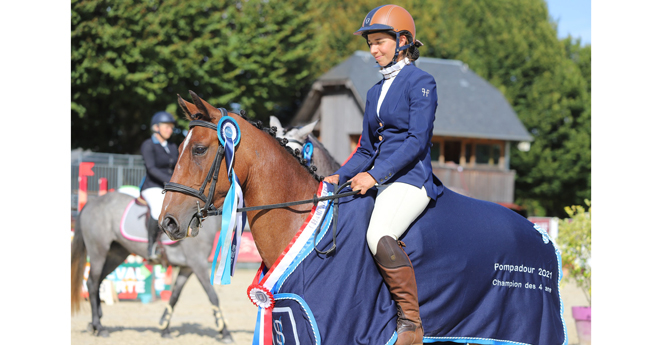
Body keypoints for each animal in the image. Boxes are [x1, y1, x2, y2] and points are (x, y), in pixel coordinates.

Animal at [70, 191, 232, 342]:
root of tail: (91, 202)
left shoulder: (187, 268)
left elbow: (174, 297)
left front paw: (164, 328)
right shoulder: (198, 264)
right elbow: (213, 296)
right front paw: (225, 333)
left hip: (116, 254)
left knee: (98, 282)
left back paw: (94, 323)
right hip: (98, 252)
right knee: (92, 283)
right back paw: (99, 326)